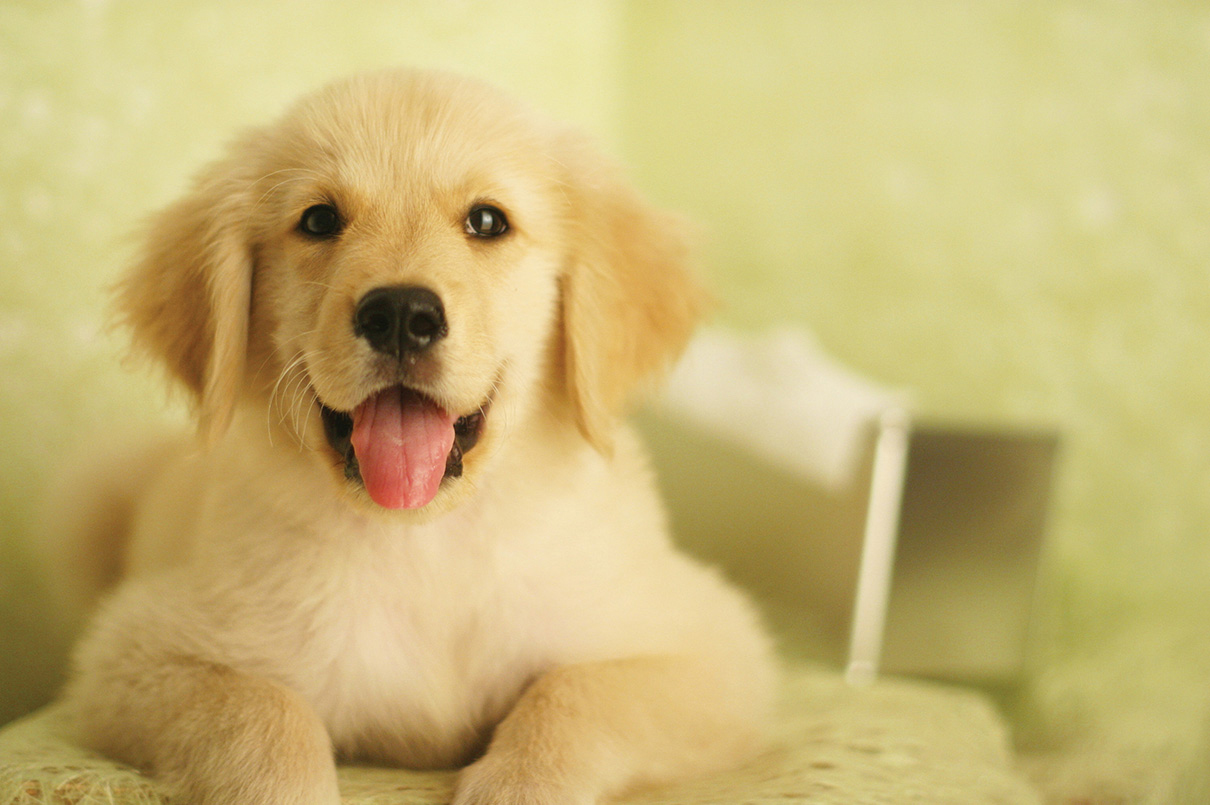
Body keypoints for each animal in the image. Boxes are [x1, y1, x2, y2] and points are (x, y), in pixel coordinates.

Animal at [56, 69, 774, 803]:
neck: (424, 542)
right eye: (319, 220)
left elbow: (575, 692)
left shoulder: (716, 649)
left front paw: (518, 782)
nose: (401, 314)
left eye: (487, 221)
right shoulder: (129, 653)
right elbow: (261, 709)